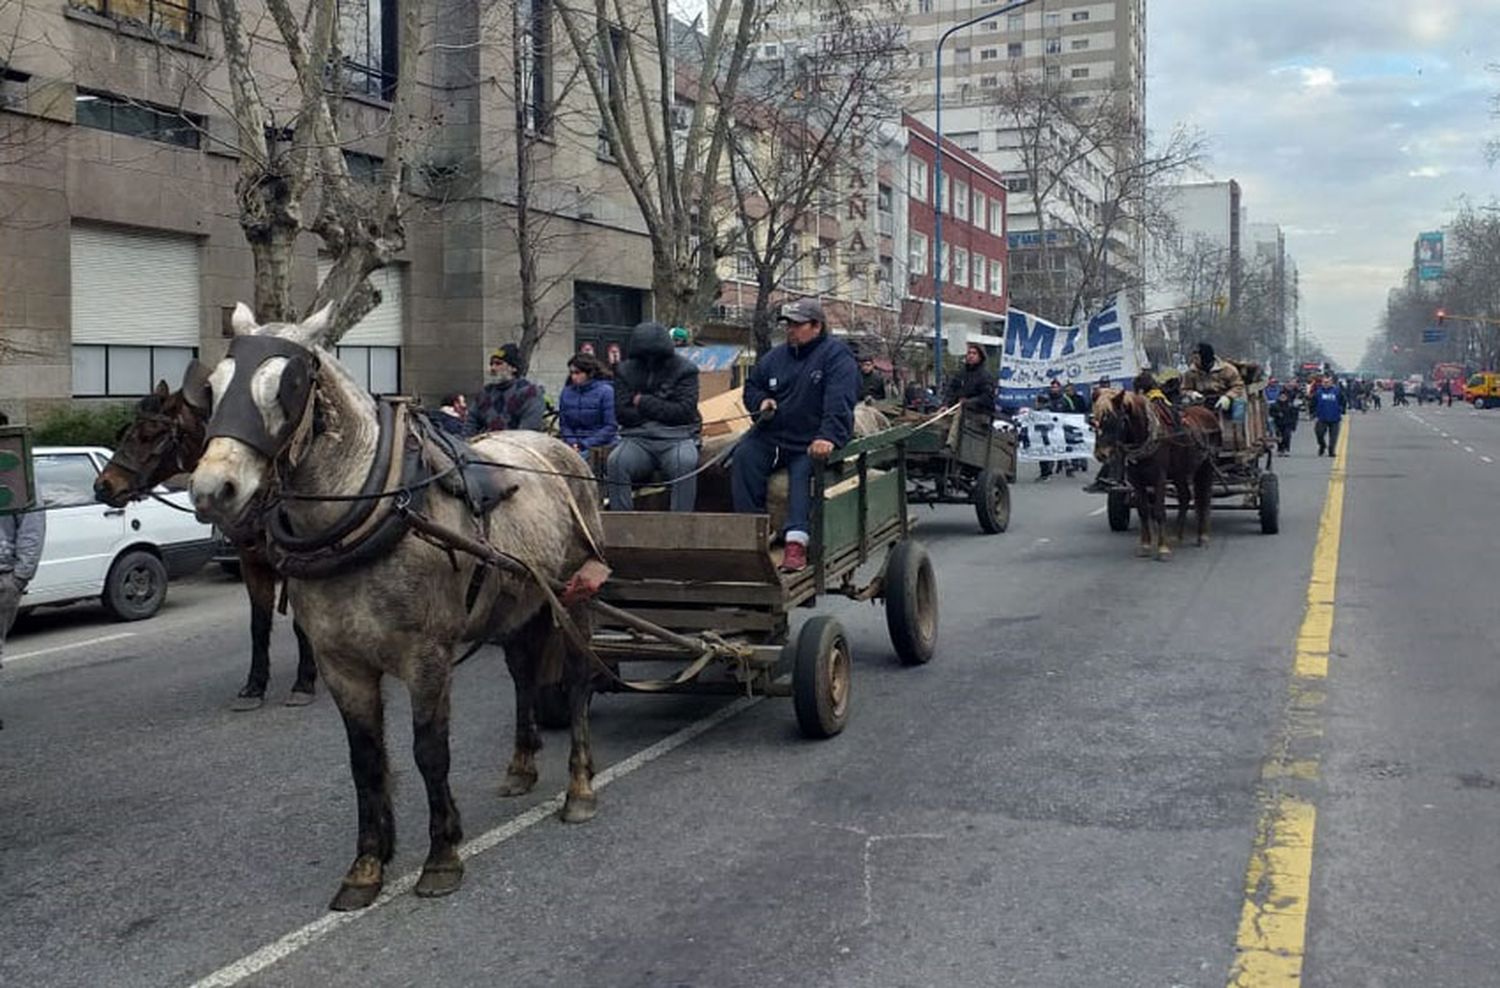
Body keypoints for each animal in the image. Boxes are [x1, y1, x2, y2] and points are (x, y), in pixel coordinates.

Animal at [93, 373, 316, 710]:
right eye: (127, 432)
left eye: (147, 435)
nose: (104, 486)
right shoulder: (252, 561)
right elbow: (259, 623)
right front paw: (254, 686)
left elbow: (302, 622)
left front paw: (304, 682)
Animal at [1092, 389, 1218, 560]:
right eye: (1094, 421)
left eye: (1114, 419)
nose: (1101, 454)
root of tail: (1206, 411)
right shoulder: (1136, 479)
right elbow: (1143, 510)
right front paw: (1145, 546)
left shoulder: (1160, 476)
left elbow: (1158, 510)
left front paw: (1163, 548)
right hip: (1179, 472)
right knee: (1185, 497)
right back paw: (1177, 535)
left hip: (1206, 468)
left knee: (1204, 499)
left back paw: (1202, 536)